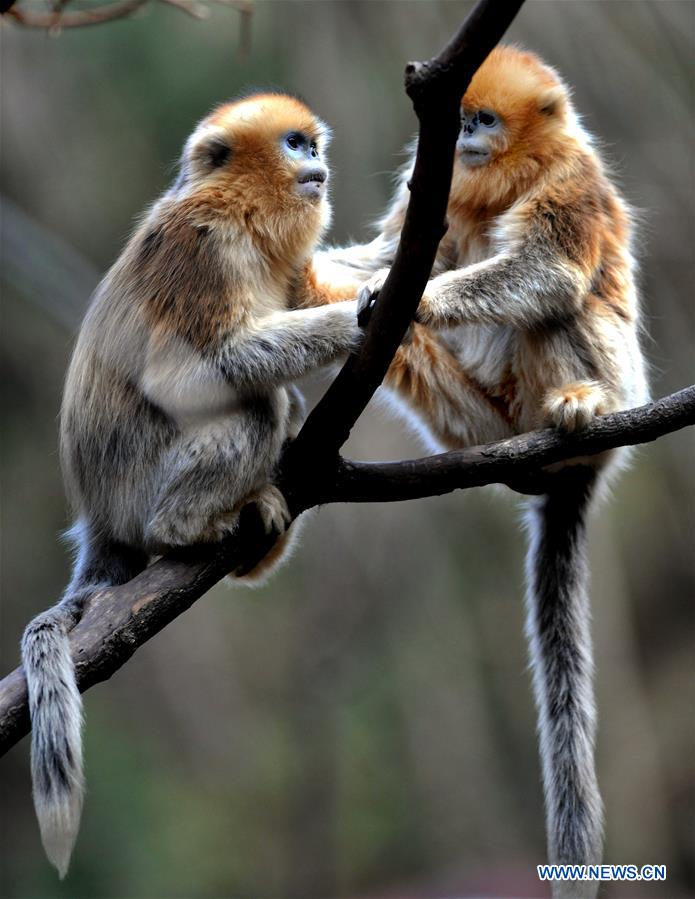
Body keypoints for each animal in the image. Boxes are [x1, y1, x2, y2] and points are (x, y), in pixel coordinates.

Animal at [310, 47, 648, 899]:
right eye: (458, 116)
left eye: (484, 119)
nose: (460, 137)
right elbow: (378, 260)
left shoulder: (571, 181)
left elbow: (548, 270)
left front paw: (414, 298)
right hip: (475, 417)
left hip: (610, 386)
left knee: (561, 305)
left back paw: (580, 405)